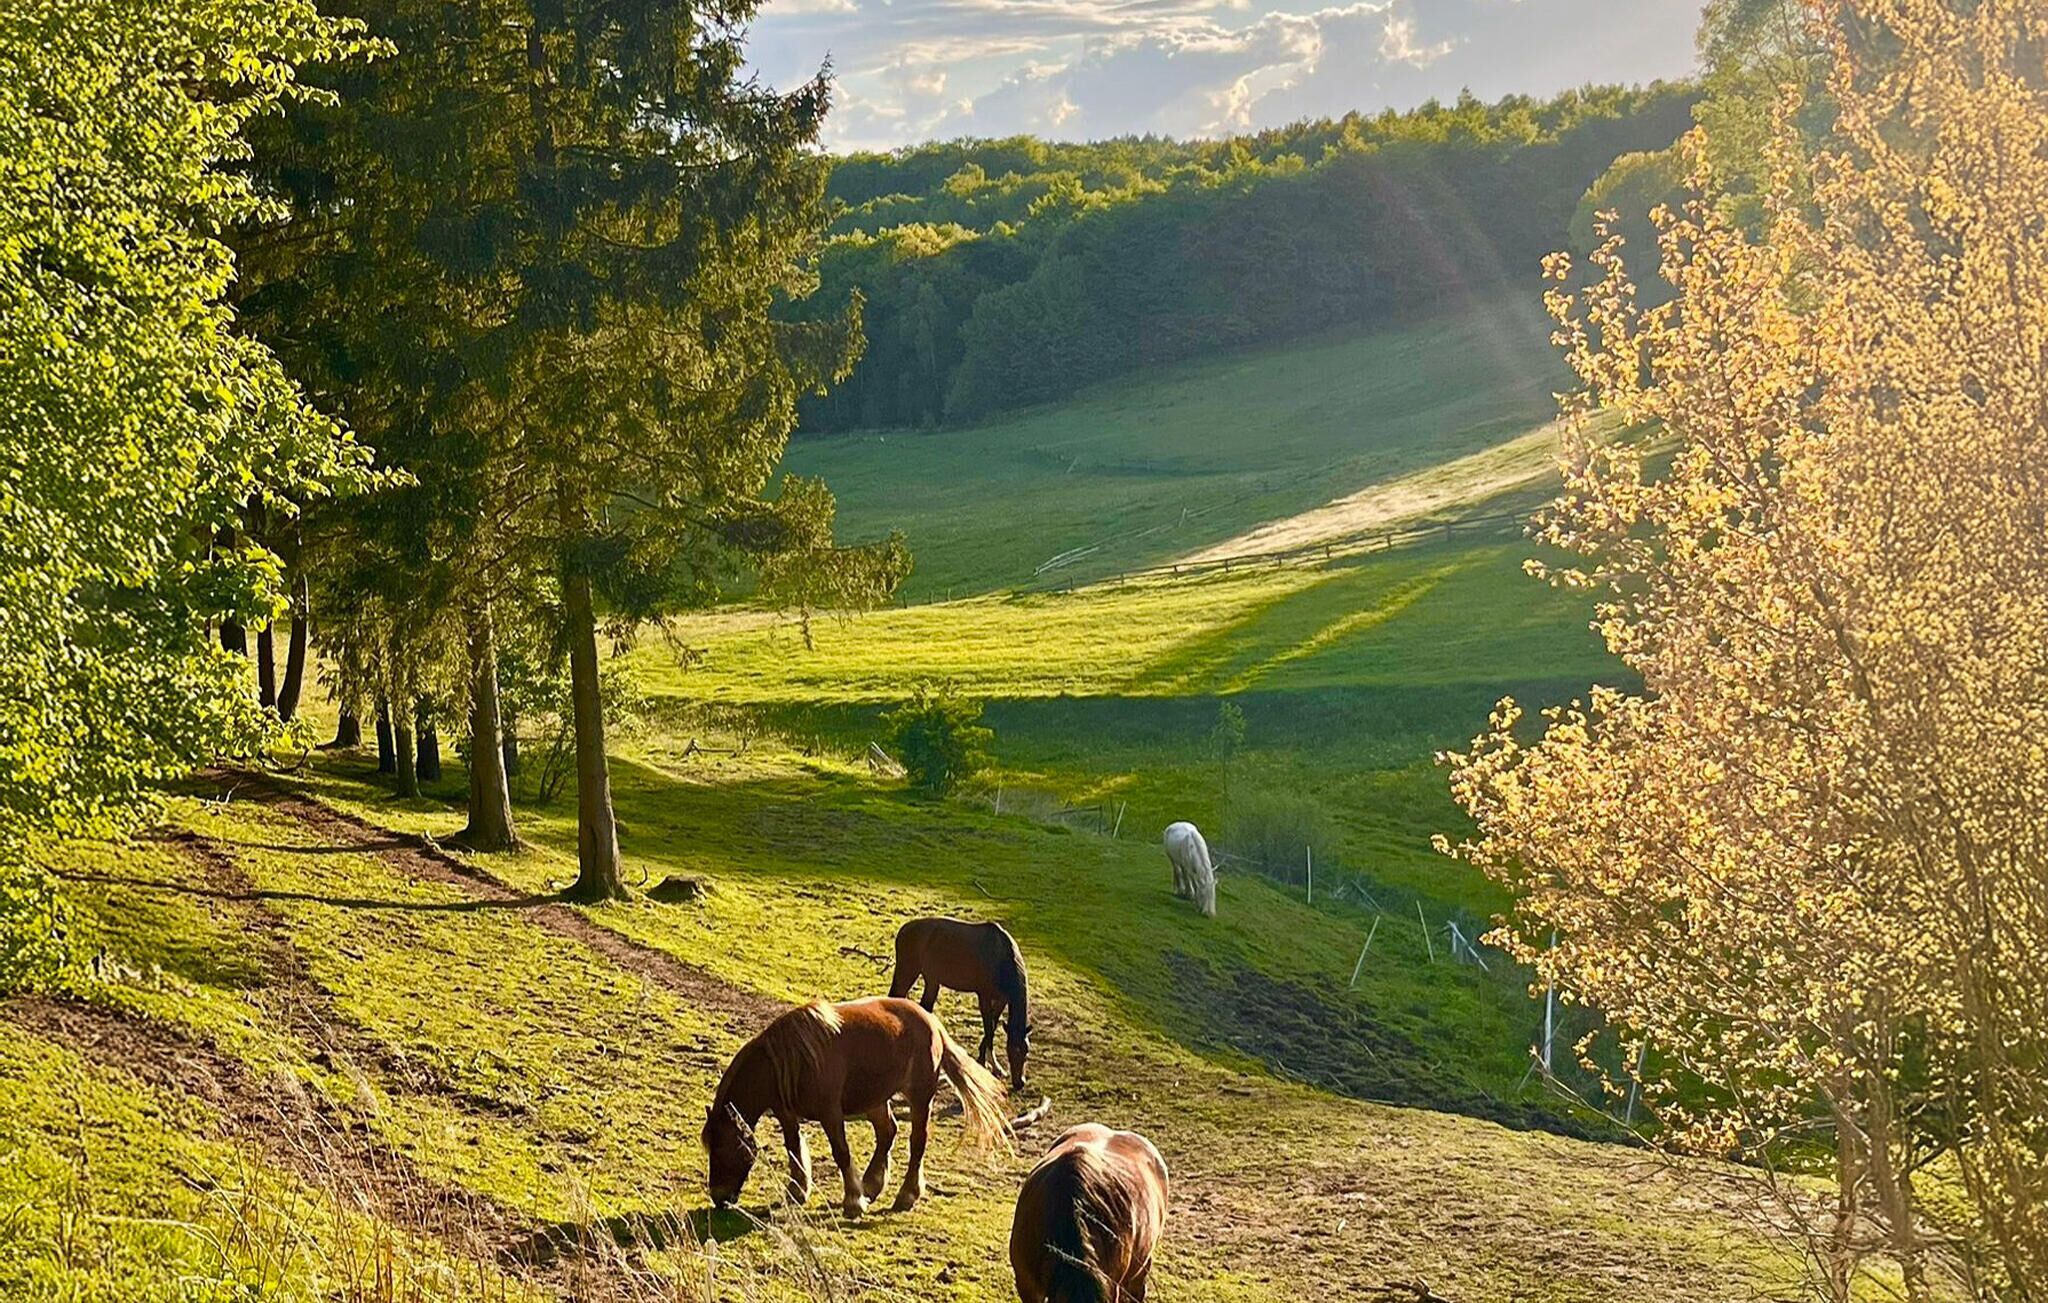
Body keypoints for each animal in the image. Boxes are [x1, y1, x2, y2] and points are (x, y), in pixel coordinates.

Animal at [702, 996, 1009, 1217]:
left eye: (723, 1148)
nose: (719, 1197)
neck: (787, 1061)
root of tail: (933, 1024)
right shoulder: (787, 1114)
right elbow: (793, 1149)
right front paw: (797, 1192)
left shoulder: (830, 1114)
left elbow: (841, 1153)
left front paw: (852, 1201)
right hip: (875, 1099)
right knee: (887, 1132)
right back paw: (872, 1185)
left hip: (920, 1098)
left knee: (917, 1141)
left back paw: (905, 1195)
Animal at [889, 917, 1033, 1089]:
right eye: (1012, 1050)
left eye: (1026, 1051)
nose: (1020, 1083)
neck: (1000, 957)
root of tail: (904, 929)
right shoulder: (984, 996)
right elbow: (989, 1029)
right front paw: (988, 1064)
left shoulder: (1001, 1000)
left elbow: (992, 1025)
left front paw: (990, 1063)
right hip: (907, 972)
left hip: (932, 981)